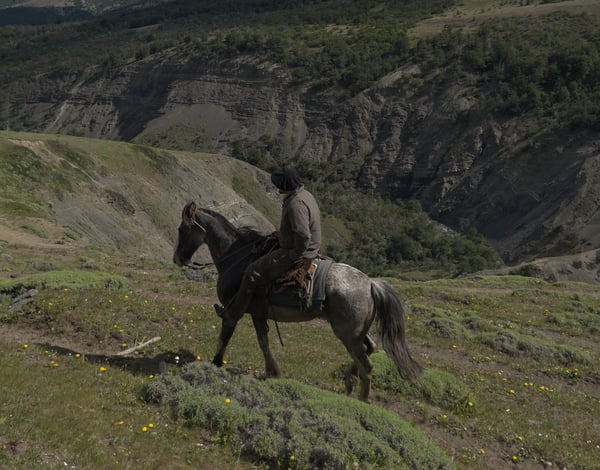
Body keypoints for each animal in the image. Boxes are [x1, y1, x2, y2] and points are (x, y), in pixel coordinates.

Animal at [173, 200, 422, 402]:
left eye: (182, 229)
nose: (177, 259)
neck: (236, 257)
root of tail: (370, 283)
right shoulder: (258, 313)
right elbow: (263, 341)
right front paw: (272, 371)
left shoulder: (237, 308)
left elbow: (228, 329)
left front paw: (216, 362)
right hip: (356, 332)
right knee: (369, 349)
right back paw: (349, 381)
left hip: (347, 334)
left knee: (366, 363)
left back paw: (360, 398)